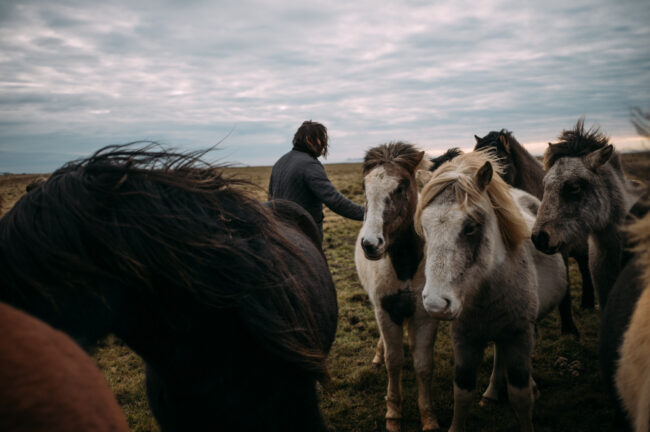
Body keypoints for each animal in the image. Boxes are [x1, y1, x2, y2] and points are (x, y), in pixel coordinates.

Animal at [355, 142, 439, 432]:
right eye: (365, 187)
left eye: (401, 186)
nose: (370, 244)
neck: (405, 267)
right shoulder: (386, 310)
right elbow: (394, 361)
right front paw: (393, 414)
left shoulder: (424, 317)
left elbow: (423, 364)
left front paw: (428, 417)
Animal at [415, 150, 569, 432]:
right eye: (425, 228)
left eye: (470, 227)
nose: (435, 304)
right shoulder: (464, 339)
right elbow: (462, 392)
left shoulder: (519, 335)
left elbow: (521, 396)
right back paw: (493, 391)